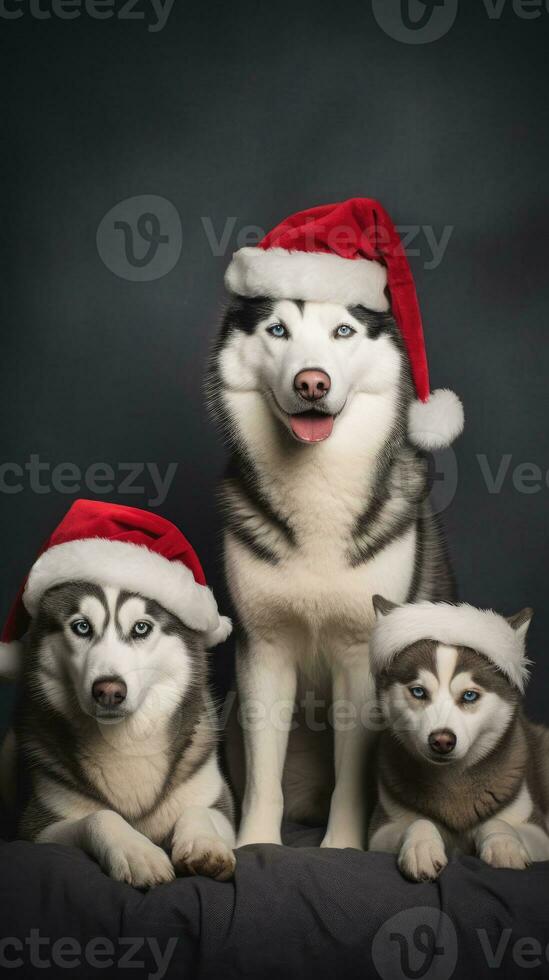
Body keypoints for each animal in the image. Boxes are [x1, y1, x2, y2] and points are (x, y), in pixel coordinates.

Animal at [208, 195, 464, 848]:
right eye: (277, 330)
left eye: (342, 331)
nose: (311, 381)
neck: (316, 486)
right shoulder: (264, 652)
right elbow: (264, 776)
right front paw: (255, 846)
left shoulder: (360, 655)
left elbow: (354, 775)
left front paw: (343, 847)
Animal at [366, 592, 548, 884]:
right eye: (418, 692)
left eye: (469, 695)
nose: (441, 740)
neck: (453, 782)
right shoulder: (380, 830)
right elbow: (418, 821)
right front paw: (421, 848)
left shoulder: (537, 829)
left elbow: (499, 822)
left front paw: (504, 846)